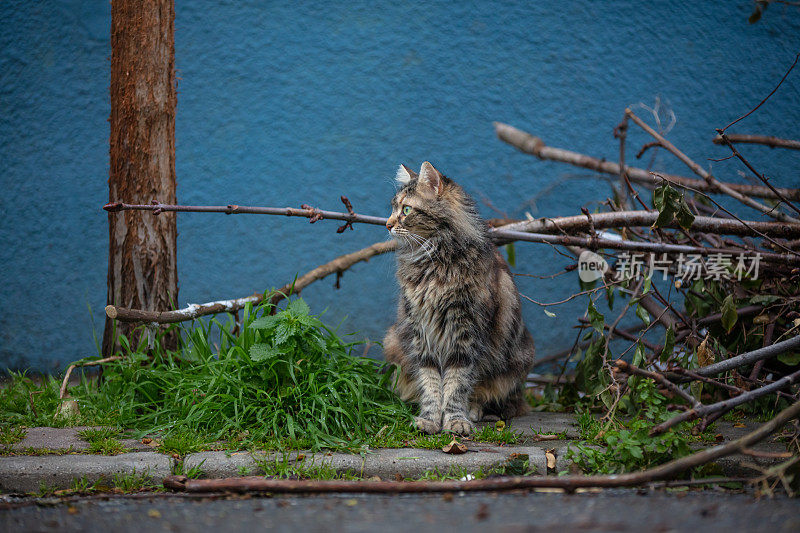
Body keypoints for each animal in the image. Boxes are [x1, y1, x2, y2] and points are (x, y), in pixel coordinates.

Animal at [382, 161, 536, 432]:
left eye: (406, 209)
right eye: (393, 207)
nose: (387, 224)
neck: (435, 261)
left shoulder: (466, 333)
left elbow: (457, 384)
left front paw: (455, 420)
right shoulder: (421, 332)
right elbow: (431, 383)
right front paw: (429, 419)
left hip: (517, 362)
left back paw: (473, 411)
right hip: (393, 342)